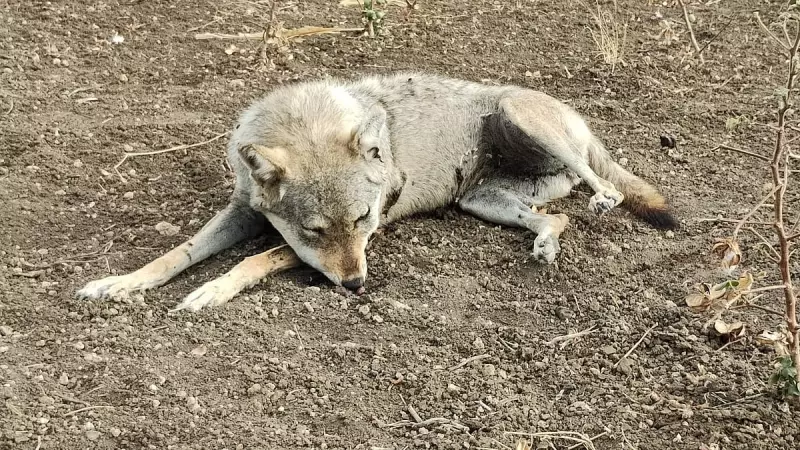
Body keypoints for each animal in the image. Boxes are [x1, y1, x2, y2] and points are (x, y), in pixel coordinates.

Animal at [76, 72, 678, 311]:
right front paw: (120, 283)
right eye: (315, 229)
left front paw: (211, 291)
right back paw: (547, 242)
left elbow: (257, 260)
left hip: (521, 116)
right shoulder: (244, 212)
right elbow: (175, 254)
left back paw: (602, 198)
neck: (304, 123)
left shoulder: (370, 231)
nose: (357, 286)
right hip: (481, 202)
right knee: (556, 218)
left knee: (605, 186)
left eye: (364, 220)